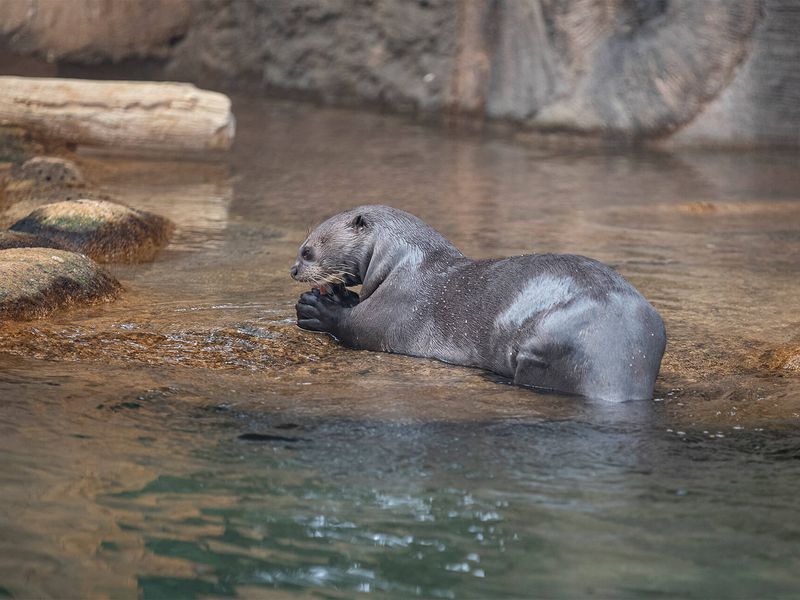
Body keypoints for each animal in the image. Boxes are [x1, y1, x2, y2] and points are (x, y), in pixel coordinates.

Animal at [290, 206, 664, 404]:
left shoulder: (397, 305)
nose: (293, 269)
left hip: (543, 345)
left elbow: (357, 328)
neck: (405, 261)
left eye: (307, 251)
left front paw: (317, 309)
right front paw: (340, 294)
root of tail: (619, 362)